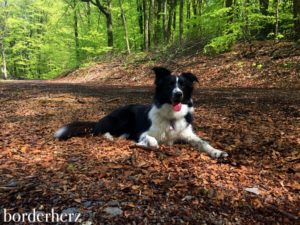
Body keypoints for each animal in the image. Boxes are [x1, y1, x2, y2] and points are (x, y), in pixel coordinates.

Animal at [54, 67, 227, 158]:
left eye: (182, 85)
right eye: (170, 85)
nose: (178, 94)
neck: (171, 117)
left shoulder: (187, 134)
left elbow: (203, 142)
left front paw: (217, 152)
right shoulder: (144, 133)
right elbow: (154, 142)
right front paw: (142, 144)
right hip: (122, 117)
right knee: (100, 131)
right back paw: (111, 137)